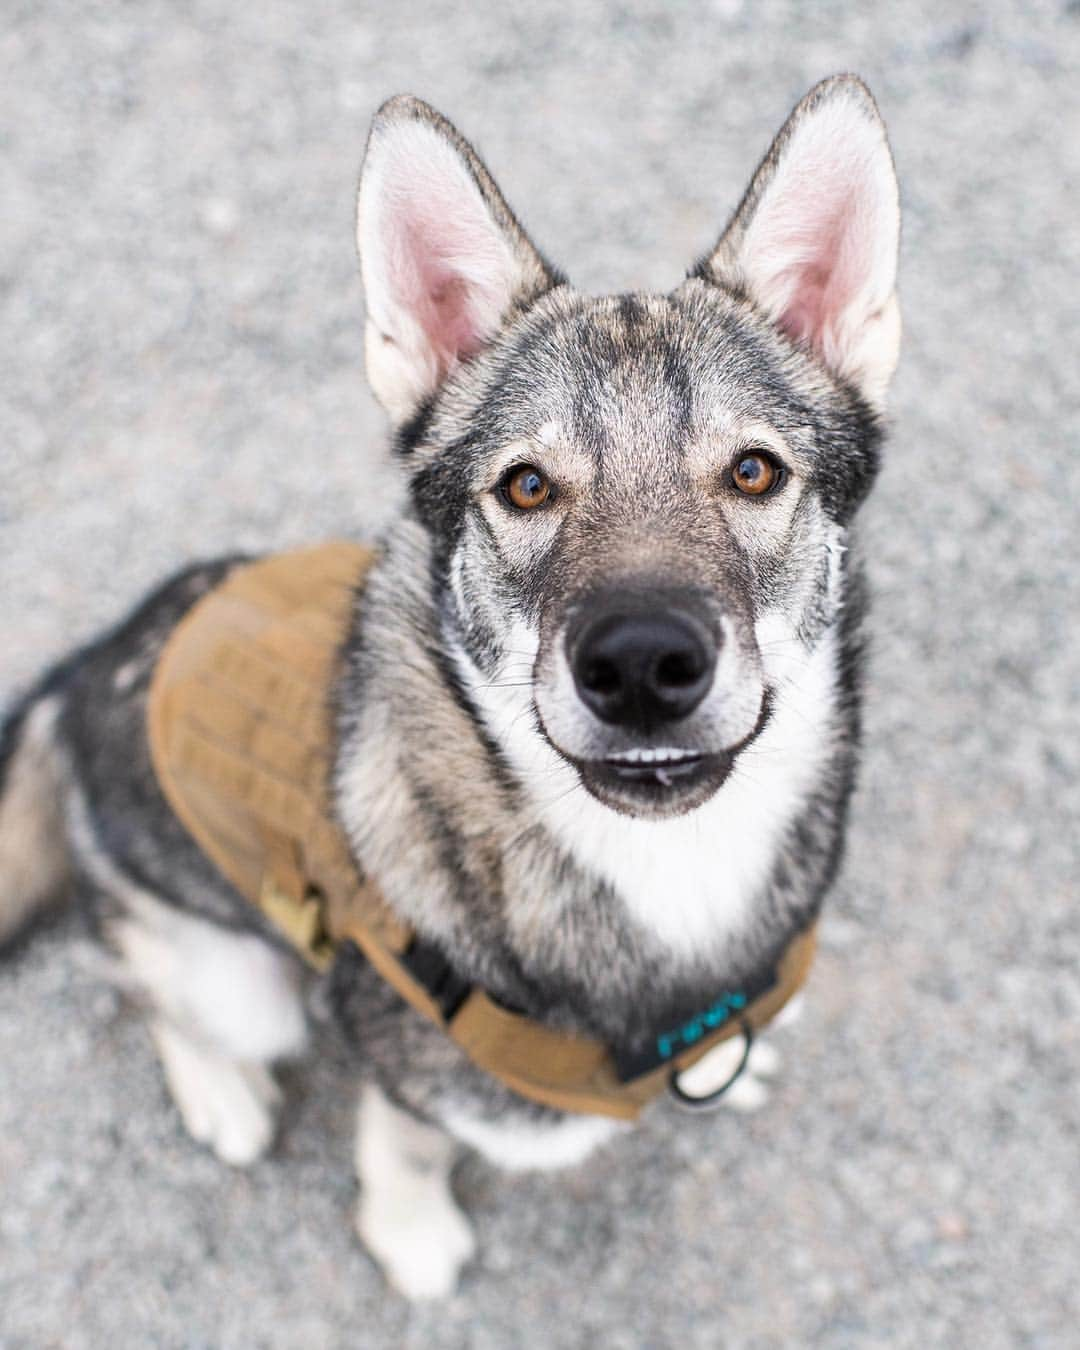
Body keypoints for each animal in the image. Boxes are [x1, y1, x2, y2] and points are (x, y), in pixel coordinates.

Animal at [2, 76, 901, 1296]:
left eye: (755, 472)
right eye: (524, 487)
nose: (641, 666)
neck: (664, 874)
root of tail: (90, 658)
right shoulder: (402, 1053)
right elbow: (409, 1137)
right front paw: (412, 1230)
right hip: (233, 978)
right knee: (144, 982)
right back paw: (221, 1091)